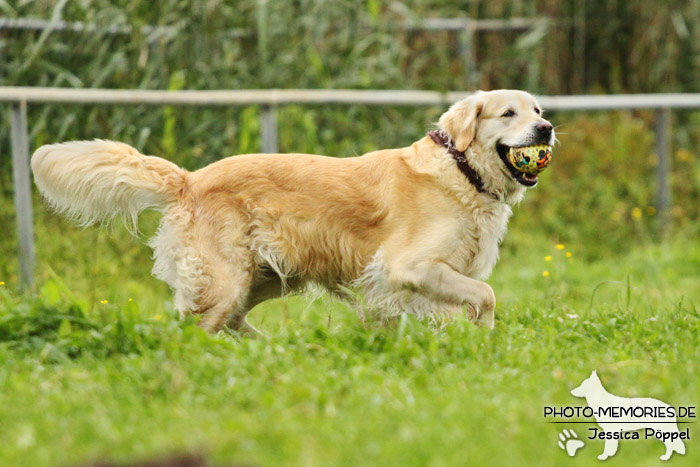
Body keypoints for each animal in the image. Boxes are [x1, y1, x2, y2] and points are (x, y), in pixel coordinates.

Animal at [31, 89, 552, 334]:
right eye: (508, 113)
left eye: (538, 110)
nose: (546, 129)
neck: (461, 171)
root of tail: (189, 179)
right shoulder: (408, 267)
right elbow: (486, 295)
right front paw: (484, 339)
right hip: (226, 280)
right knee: (192, 330)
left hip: (264, 278)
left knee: (229, 323)